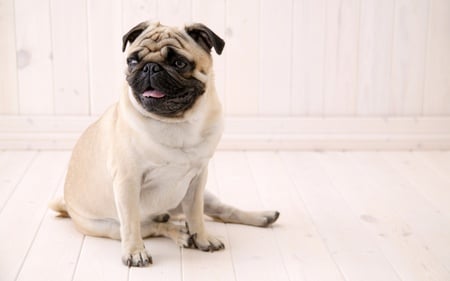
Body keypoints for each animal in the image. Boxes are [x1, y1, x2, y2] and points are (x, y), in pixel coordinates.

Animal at [49, 20, 278, 266]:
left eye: (179, 63)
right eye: (132, 61)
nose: (150, 67)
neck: (176, 122)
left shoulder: (198, 180)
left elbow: (196, 215)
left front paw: (203, 237)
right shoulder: (127, 182)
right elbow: (131, 224)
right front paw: (135, 251)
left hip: (203, 196)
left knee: (221, 211)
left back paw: (262, 217)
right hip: (107, 226)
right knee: (154, 226)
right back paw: (180, 234)